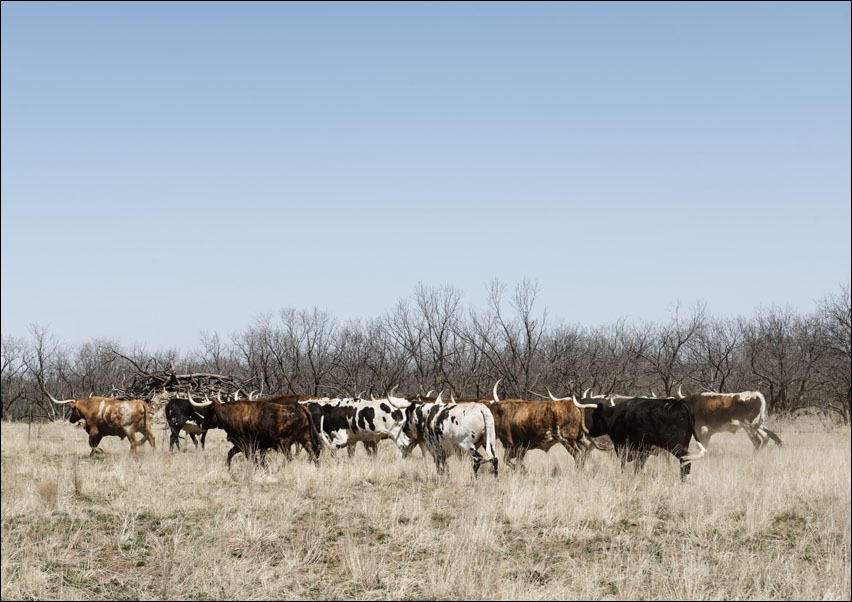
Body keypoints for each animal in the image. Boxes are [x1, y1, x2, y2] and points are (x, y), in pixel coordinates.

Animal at [188, 393, 321, 468]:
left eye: (209, 410)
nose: (203, 424)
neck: (230, 414)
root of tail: (299, 407)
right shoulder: (241, 445)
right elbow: (230, 454)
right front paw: (228, 468)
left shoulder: (245, 444)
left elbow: (252, 460)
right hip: (305, 439)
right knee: (314, 455)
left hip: (284, 443)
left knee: (290, 458)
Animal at [572, 396, 706, 481]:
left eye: (595, 416)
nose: (590, 432)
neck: (618, 416)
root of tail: (680, 404)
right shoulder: (642, 451)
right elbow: (638, 467)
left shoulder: (624, 448)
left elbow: (624, 466)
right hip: (684, 443)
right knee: (686, 461)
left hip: (675, 445)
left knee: (685, 458)